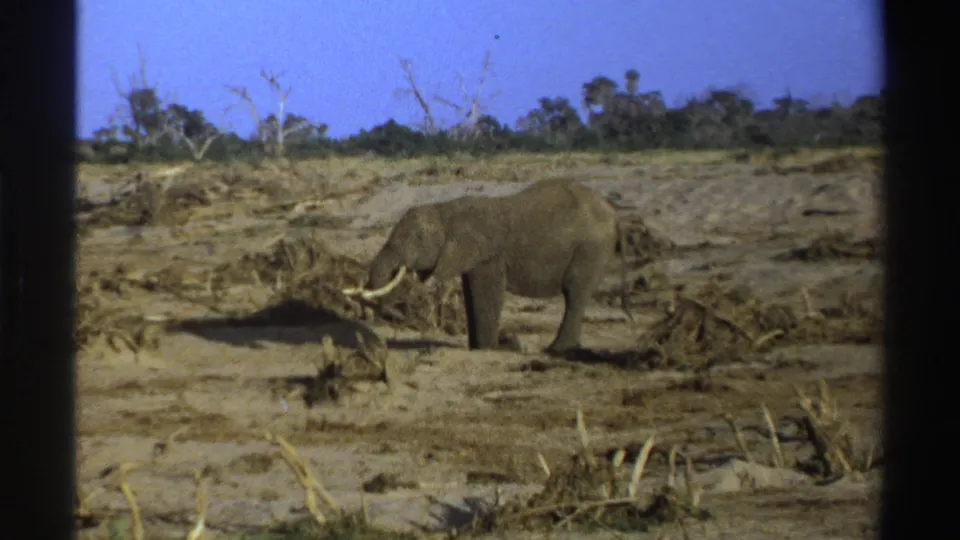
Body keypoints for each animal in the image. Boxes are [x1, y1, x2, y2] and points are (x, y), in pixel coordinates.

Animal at [343, 178, 632, 355]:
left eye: (417, 239)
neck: (446, 210)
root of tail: (615, 214)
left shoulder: (489, 255)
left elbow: (486, 293)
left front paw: (492, 348)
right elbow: (471, 292)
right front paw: (477, 348)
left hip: (591, 249)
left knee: (574, 292)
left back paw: (556, 350)